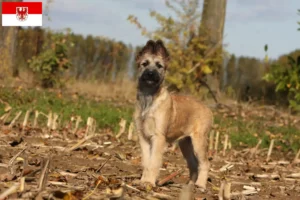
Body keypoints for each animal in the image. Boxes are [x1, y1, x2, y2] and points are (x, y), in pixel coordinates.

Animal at [134, 39, 213, 191]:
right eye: (144, 64)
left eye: (159, 66)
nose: (151, 73)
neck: (149, 99)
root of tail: (208, 108)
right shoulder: (143, 137)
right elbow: (146, 162)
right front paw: (142, 181)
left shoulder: (158, 137)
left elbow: (153, 162)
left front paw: (149, 182)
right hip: (186, 144)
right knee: (193, 165)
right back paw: (189, 186)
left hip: (199, 141)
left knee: (205, 163)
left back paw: (200, 185)